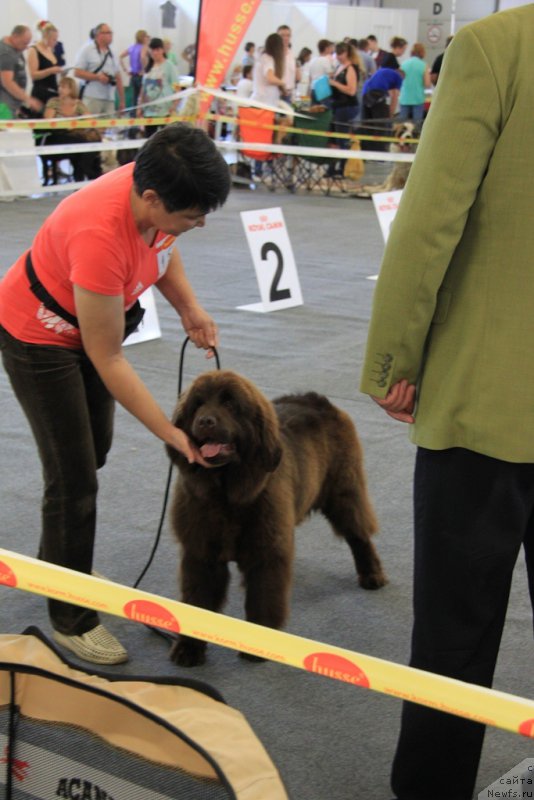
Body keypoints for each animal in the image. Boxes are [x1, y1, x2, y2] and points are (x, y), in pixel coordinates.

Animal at [165, 372, 388, 664]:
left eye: (230, 404)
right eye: (198, 405)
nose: (205, 421)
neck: (226, 493)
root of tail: (317, 399)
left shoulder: (265, 551)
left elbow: (263, 596)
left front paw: (256, 645)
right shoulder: (201, 552)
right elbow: (197, 599)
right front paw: (188, 649)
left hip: (344, 490)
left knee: (359, 534)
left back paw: (372, 575)